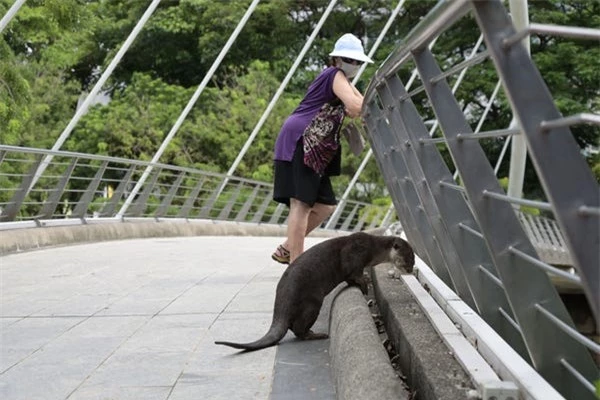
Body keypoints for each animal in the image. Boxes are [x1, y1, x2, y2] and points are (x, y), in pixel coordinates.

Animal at [213, 233, 414, 352]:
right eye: (409, 259)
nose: (411, 270)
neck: (373, 248)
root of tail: (281, 301)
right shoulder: (356, 254)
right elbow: (355, 272)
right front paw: (364, 284)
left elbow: (351, 278)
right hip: (313, 302)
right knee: (298, 329)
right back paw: (316, 335)